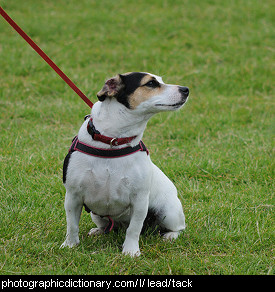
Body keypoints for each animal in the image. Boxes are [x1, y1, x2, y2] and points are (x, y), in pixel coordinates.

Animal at [60, 72, 190, 256]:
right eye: (151, 83)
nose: (186, 89)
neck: (113, 140)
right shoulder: (73, 196)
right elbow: (72, 225)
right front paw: (70, 245)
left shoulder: (139, 200)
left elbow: (134, 229)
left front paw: (130, 251)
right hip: (96, 215)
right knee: (109, 226)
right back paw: (99, 231)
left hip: (168, 211)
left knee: (178, 228)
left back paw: (169, 236)